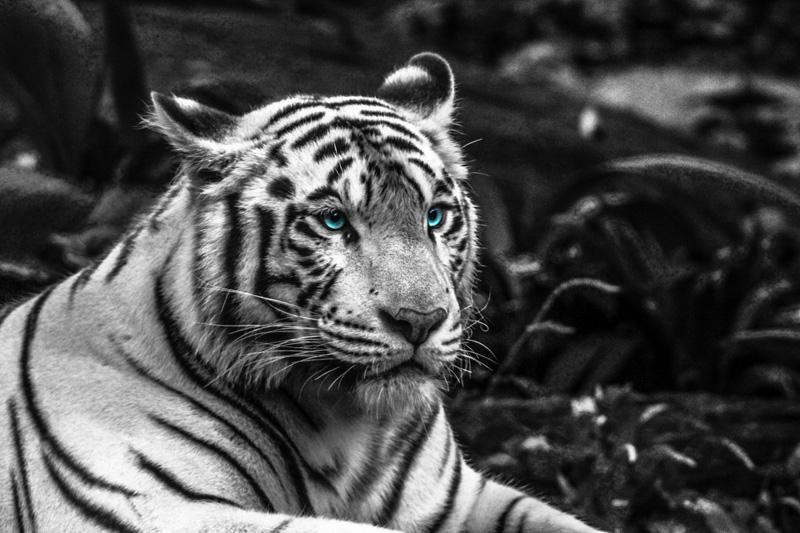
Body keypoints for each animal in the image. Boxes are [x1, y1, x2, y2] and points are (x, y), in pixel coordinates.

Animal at [0, 53, 603, 532]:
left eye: (434, 216)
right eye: (334, 222)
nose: (421, 320)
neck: (348, 427)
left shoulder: (457, 498)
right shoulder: (152, 508)